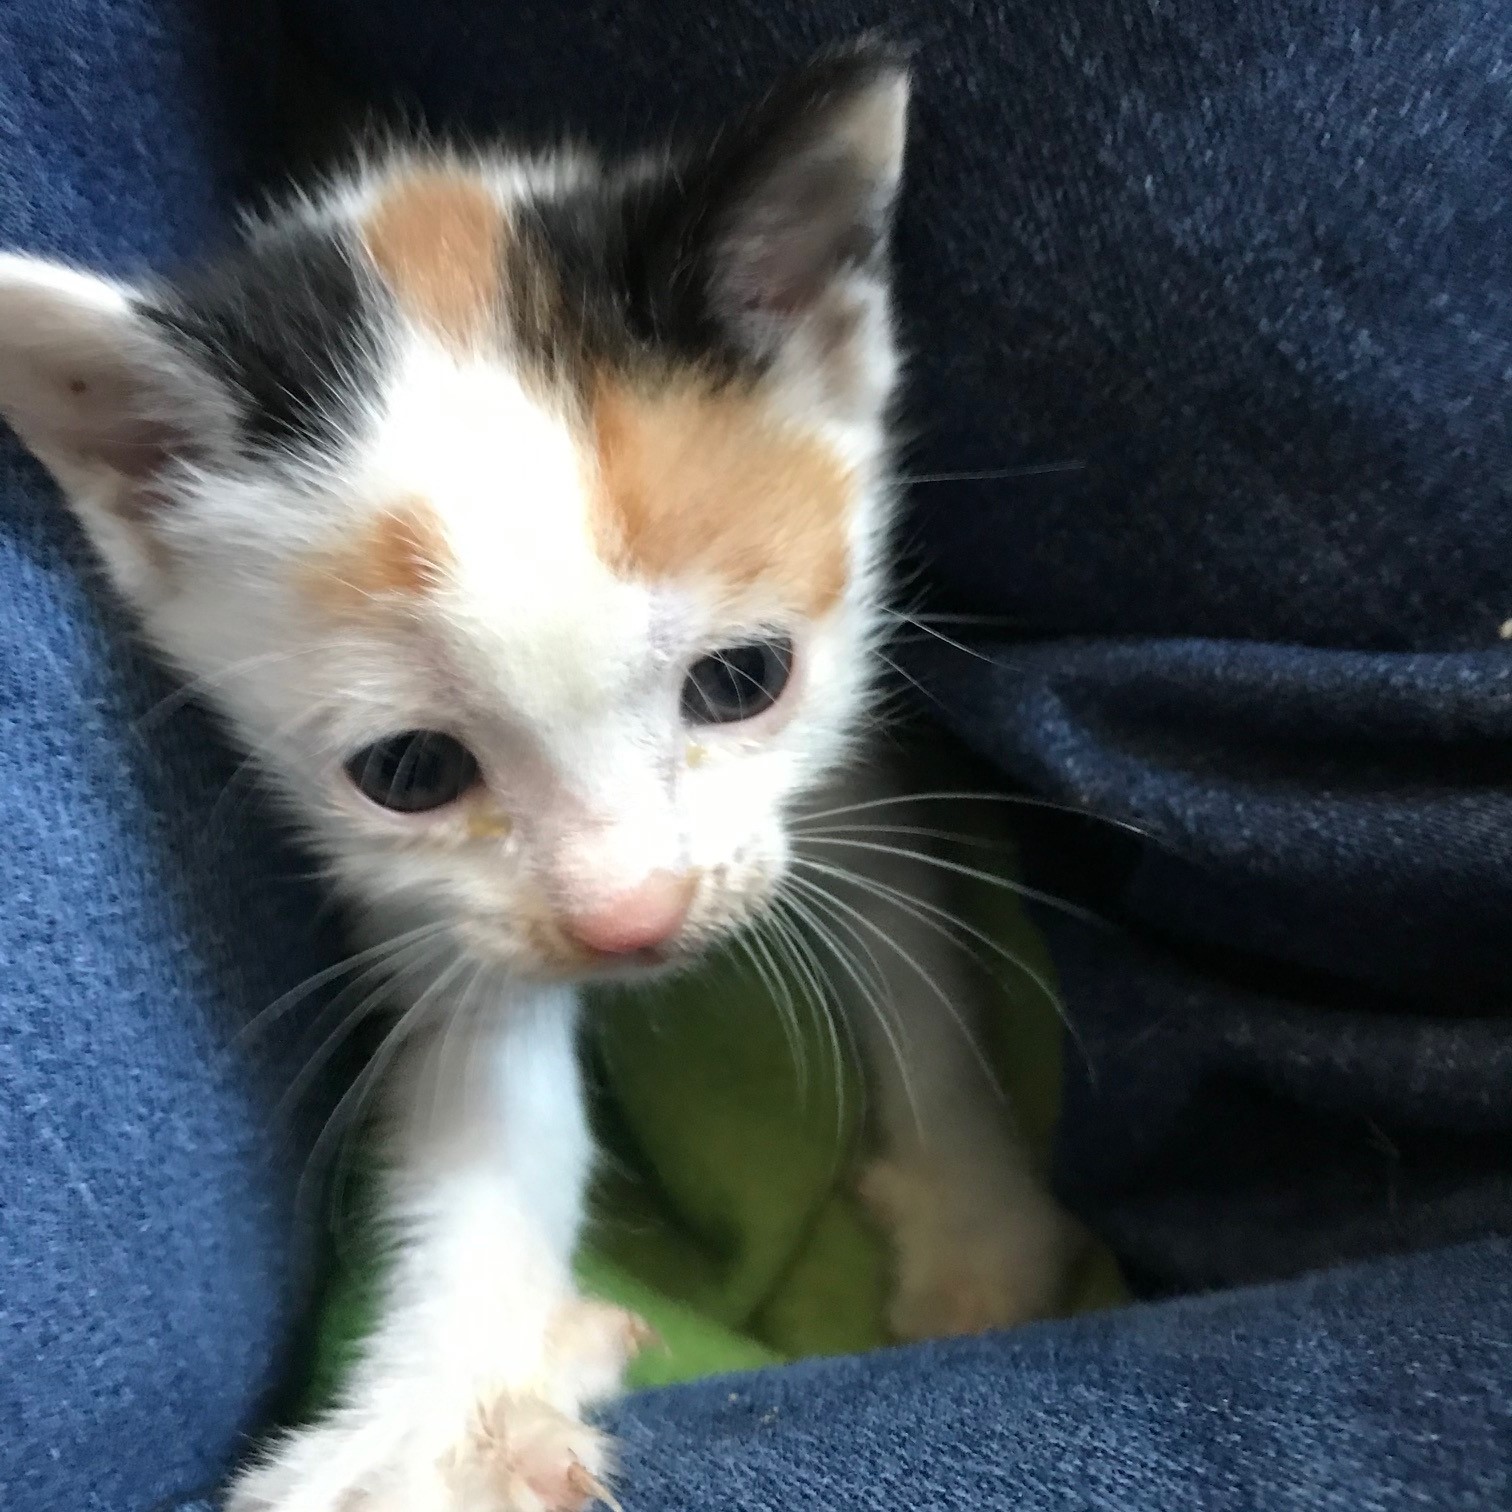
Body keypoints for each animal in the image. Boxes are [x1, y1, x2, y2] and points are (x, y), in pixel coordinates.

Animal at [0, 40, 1079, 1512]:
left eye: (743, 680)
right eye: (408, 771)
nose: (634, 926)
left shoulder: (842, 741)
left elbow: (910, 937)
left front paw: (976, 1216)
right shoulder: (449, 909)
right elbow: (486, 1111)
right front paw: (429, 1418)